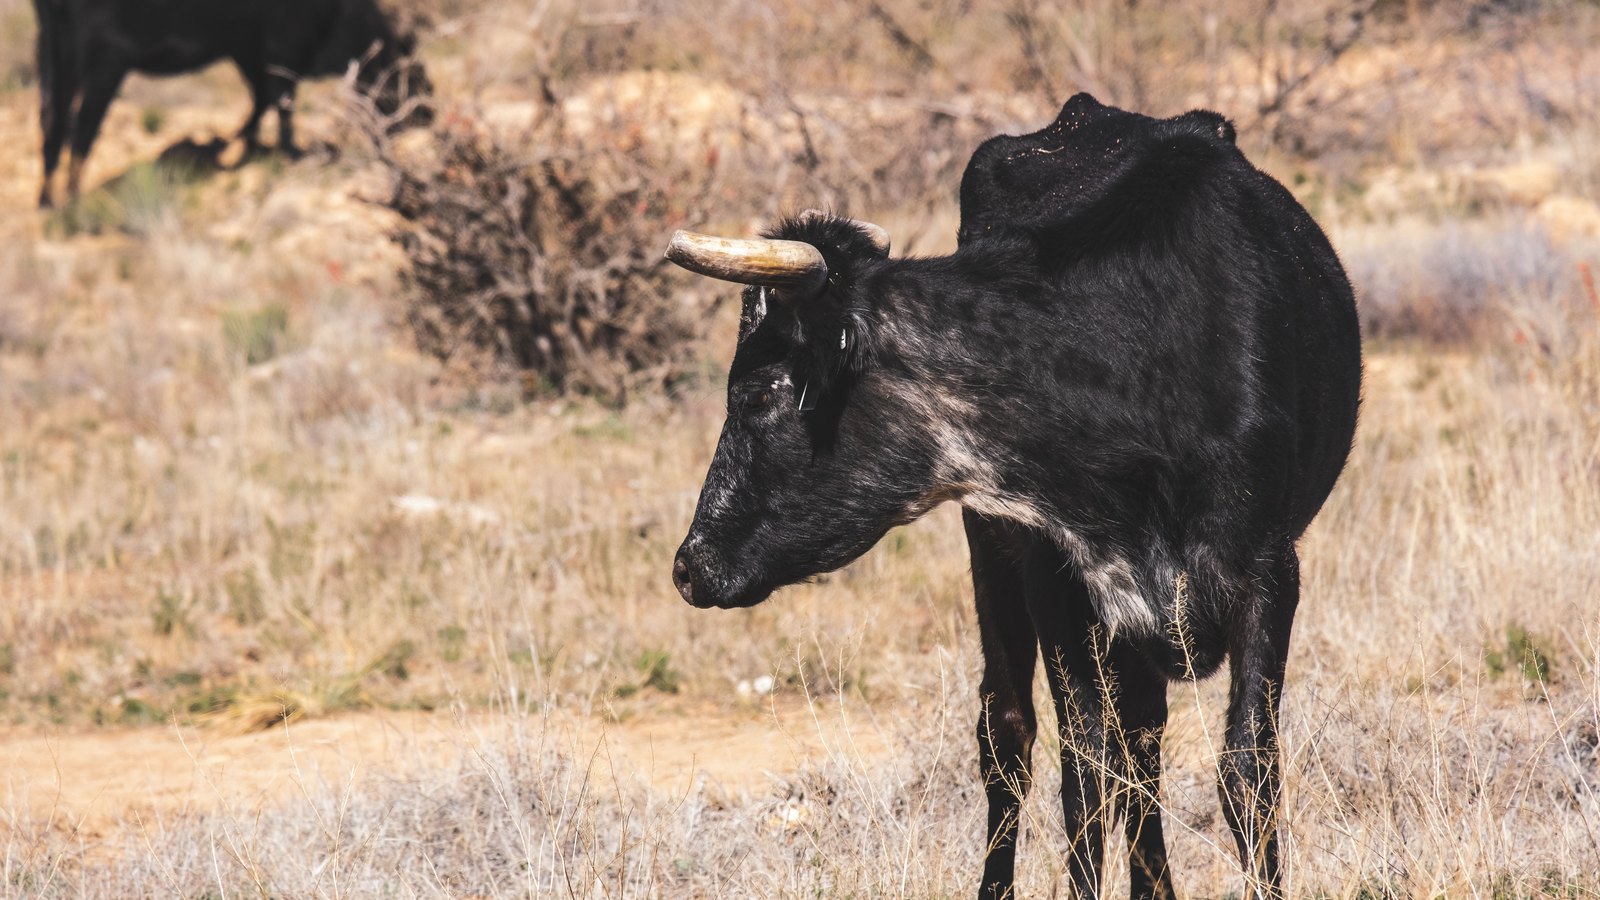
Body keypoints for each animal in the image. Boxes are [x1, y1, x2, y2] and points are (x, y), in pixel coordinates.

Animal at [32, 0, 432, 207]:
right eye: (412, 70)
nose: (427, 114)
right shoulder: (284, 42)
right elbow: (282, 97)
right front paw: (291, 150)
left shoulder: (247, 46)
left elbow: (261, 99)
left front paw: (241, 143)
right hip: (106, 60)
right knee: (82, 127)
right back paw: (72, 200)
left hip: (54, 53)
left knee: (53, 123)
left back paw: (47, 200)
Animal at [662, 93, 1362, 899]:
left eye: (758, 392)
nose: (690, 564)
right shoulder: (1055, 578)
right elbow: (1083, 777)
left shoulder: (1269, 573)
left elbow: (1247, 770)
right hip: (995, 552)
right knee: (1015, 736)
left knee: (1141, 743)